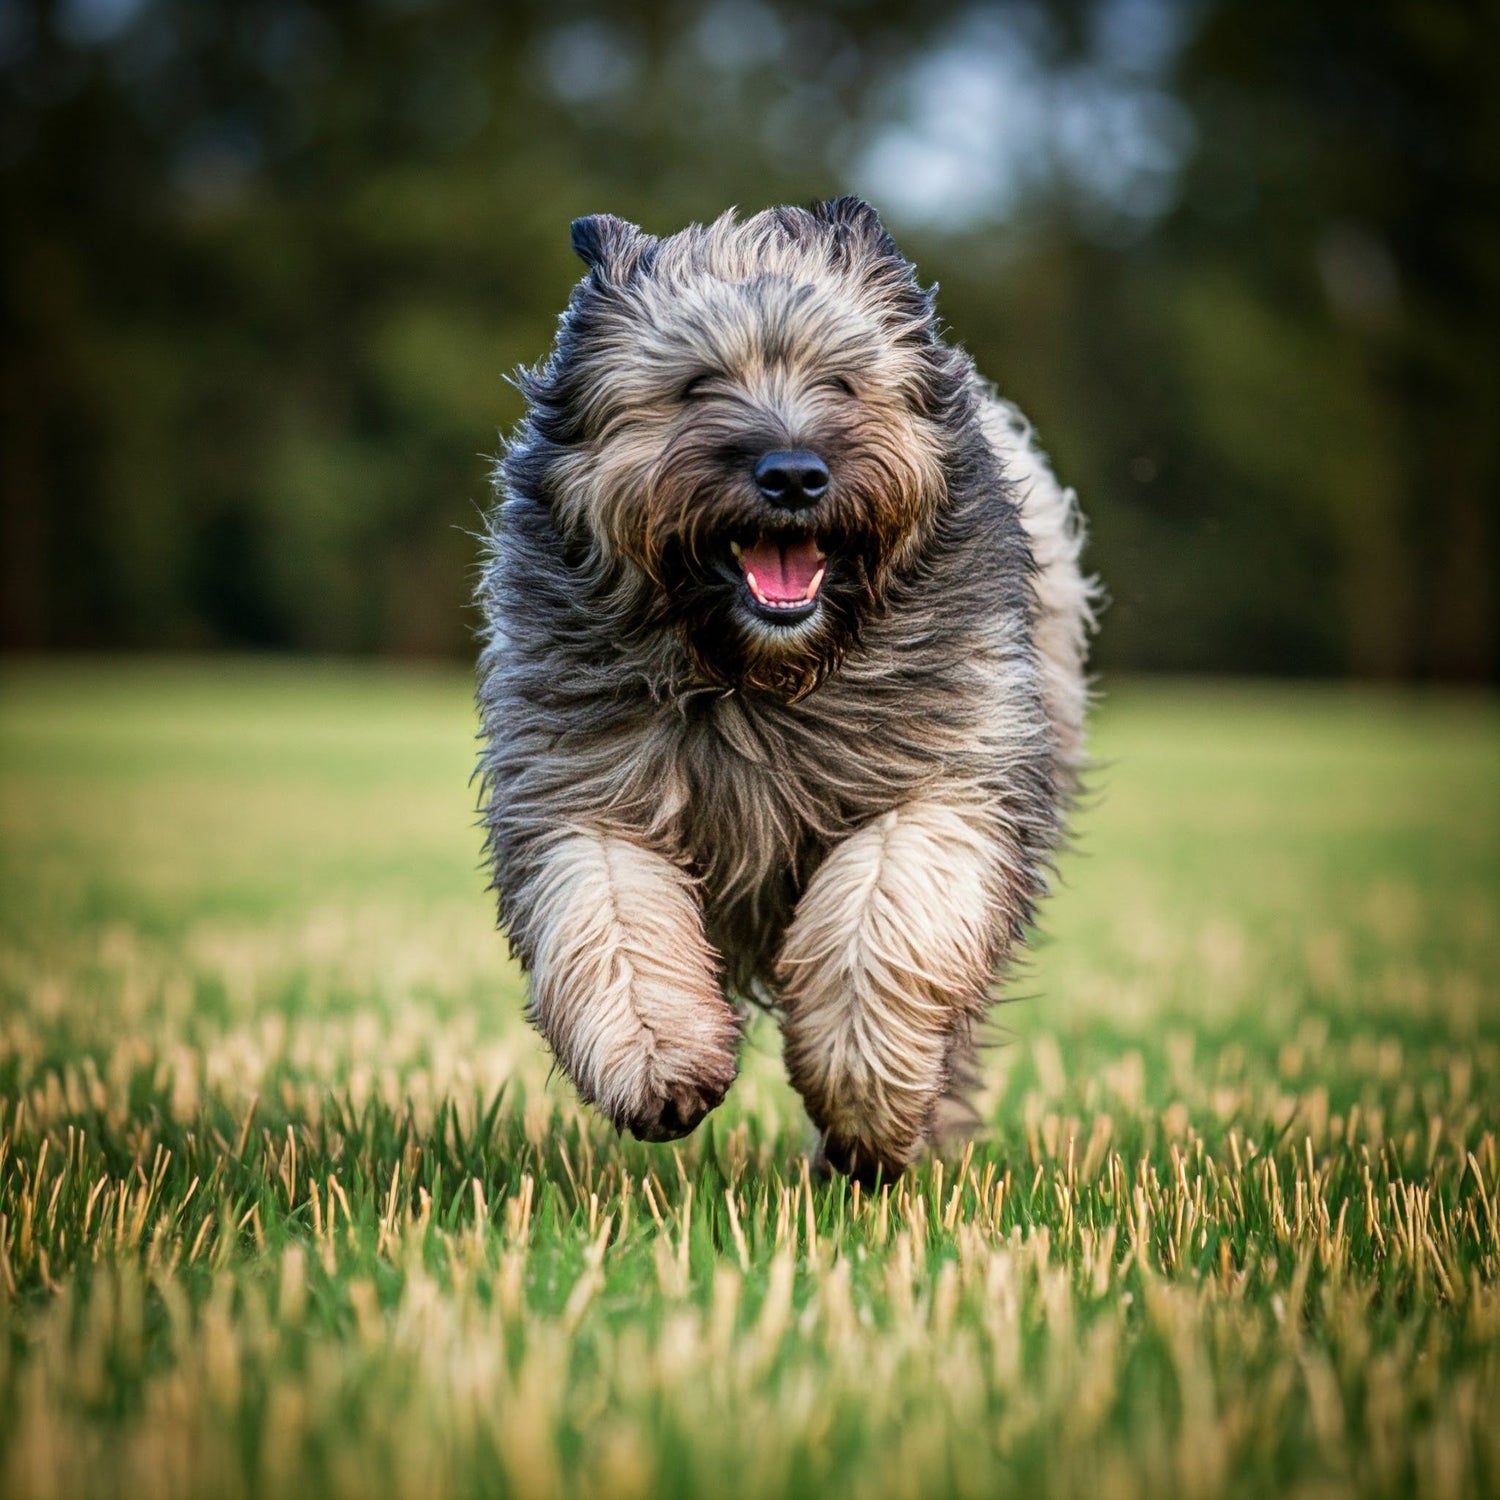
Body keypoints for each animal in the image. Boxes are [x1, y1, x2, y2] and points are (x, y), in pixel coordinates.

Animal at [474, 196, 1098, 1182]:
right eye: (695, 386)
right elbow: (614, 917)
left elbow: (884, 917)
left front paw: (862, 1094)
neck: (757, 680)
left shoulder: (950, 782)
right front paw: (658, 1060)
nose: (795, 474)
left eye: (840, 382)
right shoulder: (580, 792)